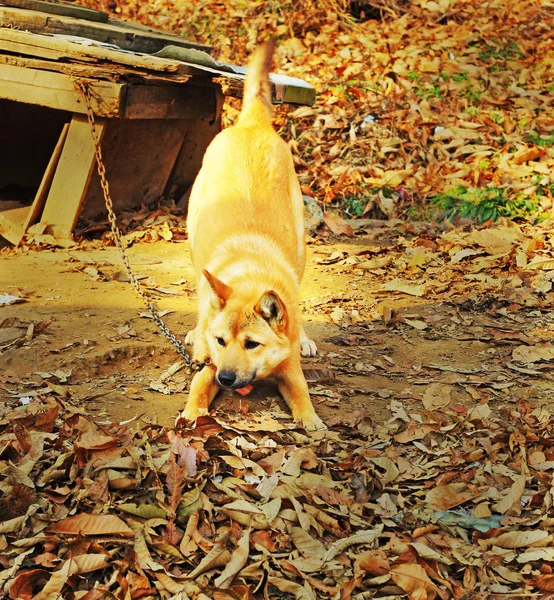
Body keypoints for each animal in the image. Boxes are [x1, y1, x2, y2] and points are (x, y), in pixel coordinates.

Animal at [179, 39, 322, 428]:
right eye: (221, 341)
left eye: (251, 344)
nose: (226, 378)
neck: (250, 271)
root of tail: (250, 125)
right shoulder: (209, 365)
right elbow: (198, 385)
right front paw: (192, 413)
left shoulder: (290, 369)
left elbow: (302, 392)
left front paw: (311, 421)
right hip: (193, 237)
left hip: (301, 250)